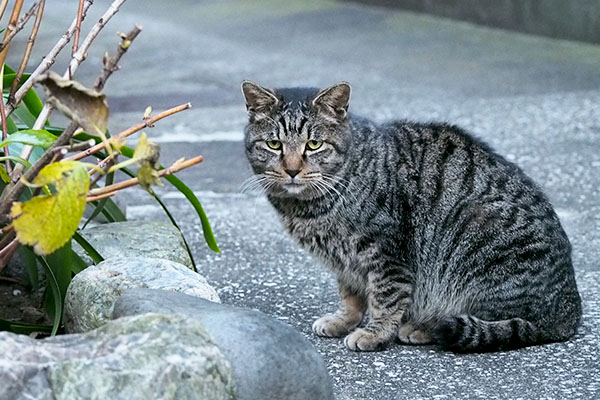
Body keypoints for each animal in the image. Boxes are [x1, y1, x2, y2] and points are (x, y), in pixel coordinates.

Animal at [240, 80, 580, 350]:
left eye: (314, 144)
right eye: (274, 144)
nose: (292, 170)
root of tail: (571, 310)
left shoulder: (386, 252)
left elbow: (386, 297)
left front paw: (374, 333)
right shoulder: (345, 261)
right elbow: (351, 296)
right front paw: (343, 321)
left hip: (473, 236)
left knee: (491, 320)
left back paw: (423, 327)